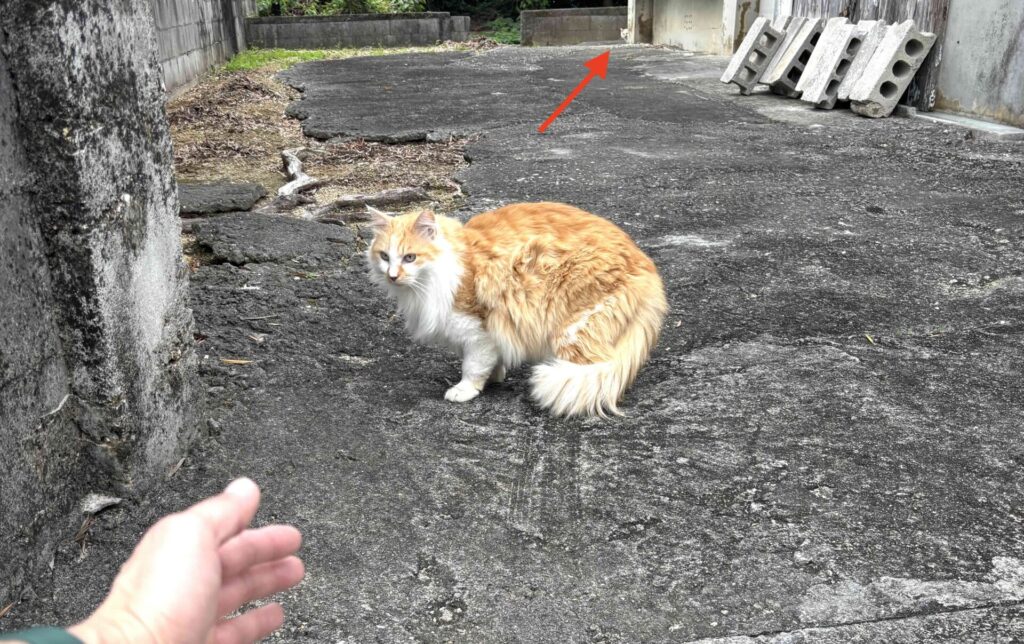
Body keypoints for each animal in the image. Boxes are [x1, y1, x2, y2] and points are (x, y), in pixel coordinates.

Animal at [366, 202, 667, 417]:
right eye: (385, 257)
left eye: (410, 257)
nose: (392, 276)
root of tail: (647, 266)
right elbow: (491, 361)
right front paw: (495, 376)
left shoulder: (477, 330)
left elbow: (473, 365)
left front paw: (466, 389)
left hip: (572, 329)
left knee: (594, 373)